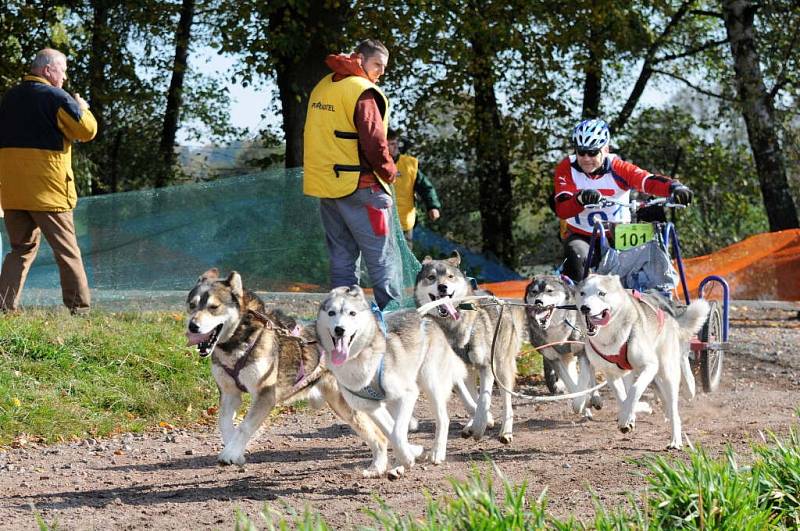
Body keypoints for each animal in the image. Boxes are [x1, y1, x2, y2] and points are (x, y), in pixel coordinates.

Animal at [188, 270, 388, 470]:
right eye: (191, 305)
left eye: (214, 307)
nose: (192, 326)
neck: (239, 340)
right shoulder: (229, 393)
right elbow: (225, 423)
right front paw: (234, 449)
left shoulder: (265, 395)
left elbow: (244, 427)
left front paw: (230, 453)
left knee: (380, 436)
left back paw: (378, 466)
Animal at [412, 251, 524, 442]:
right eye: (431, 277)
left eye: (450, 276)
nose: (442, 287)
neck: (452, 328)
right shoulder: (456, 371)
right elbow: (468, 399)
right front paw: (483, 421)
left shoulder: (486, 366)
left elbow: (484, 400)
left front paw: (480, 426)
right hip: (470, 372)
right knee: (473, 394)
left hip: (501, 367)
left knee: (507, 402)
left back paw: (505, 432)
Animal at [576, 274, 708, 448]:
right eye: (582, 293)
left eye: (601, 293)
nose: (585, 308)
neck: (611, 338)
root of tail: (670, 318)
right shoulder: (611, 374)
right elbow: (622, 397)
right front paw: (630, 415)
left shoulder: (649, 366)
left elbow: (635, 390)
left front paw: (627, 416)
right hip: (632, 373)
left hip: (667, 373)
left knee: (673, 408)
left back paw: (675, 439)